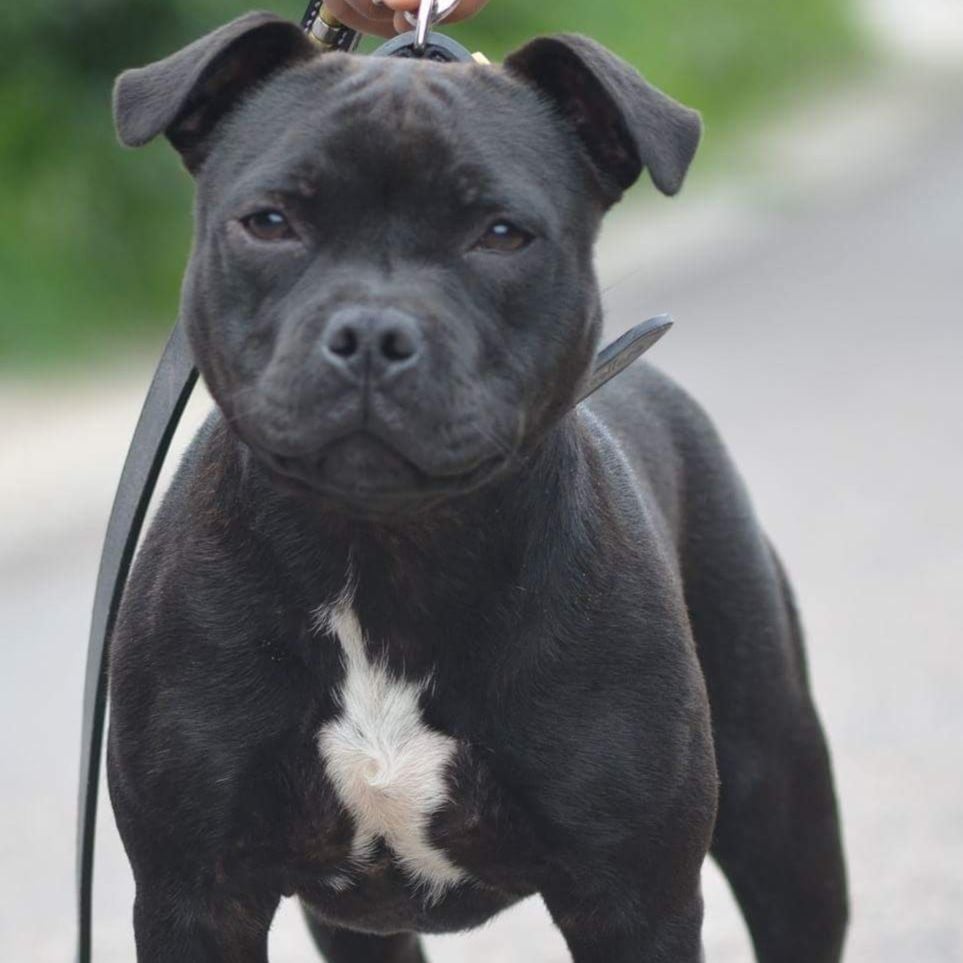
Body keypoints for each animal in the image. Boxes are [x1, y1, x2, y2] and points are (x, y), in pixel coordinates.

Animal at [107, 11, 852, 960]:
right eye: (269, 222)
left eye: (501, 234)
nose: (372, 331)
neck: (382, 550)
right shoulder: (195, 893)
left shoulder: (635, 898)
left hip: (779, 802)